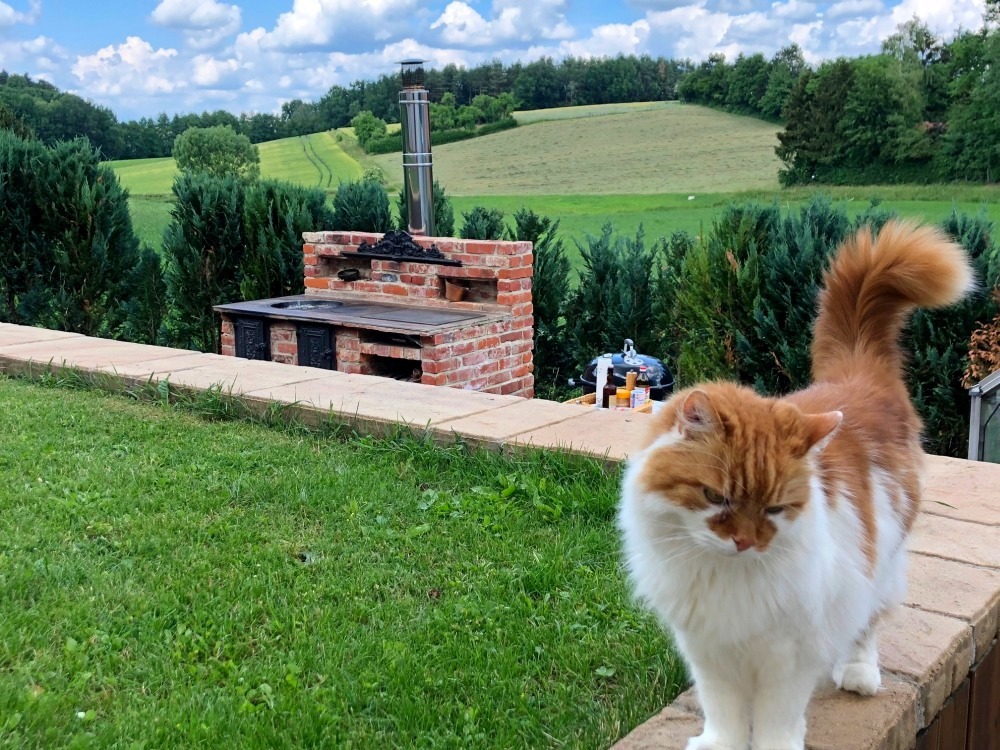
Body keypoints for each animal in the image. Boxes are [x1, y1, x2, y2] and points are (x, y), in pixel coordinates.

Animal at [620, 223, 972, 750]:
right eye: (716, 497)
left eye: (775, 509)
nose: (745, 543)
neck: (728, 576)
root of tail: (856, 373)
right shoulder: (708, 649)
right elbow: (723, 712)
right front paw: (720, 743)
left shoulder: (789, 653)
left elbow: (775, 720)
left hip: (879, 566)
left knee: (867, 625)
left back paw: (858, 674)